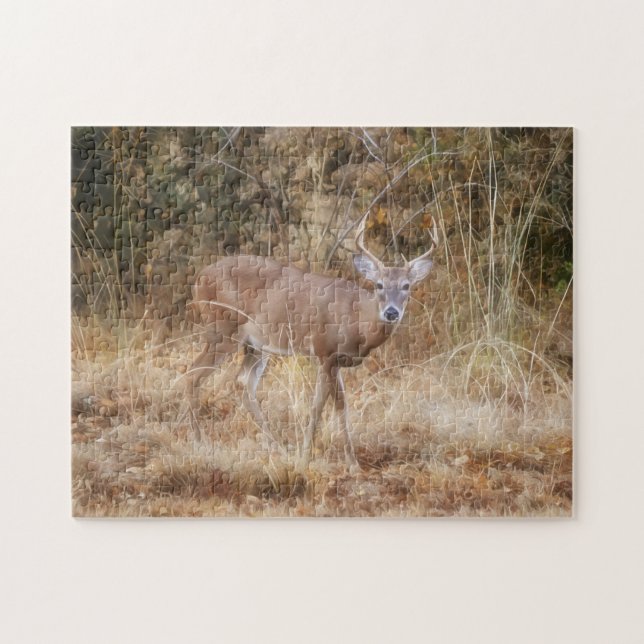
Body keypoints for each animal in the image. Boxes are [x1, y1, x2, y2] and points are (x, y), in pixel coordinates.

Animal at [182, 213, 438, 469]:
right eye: (379, 285)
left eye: (406, 286)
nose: (391, 312)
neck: (357, 319)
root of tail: (198, 279)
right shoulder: (325, 352)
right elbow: (324, 405)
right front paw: (319, 457)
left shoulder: (337, 361)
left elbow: (335, 404)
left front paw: (332, 457)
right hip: (222, 329)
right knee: (193, 373)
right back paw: (200, 441)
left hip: (255, 345)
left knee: (243, 384)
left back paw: (276, 446)